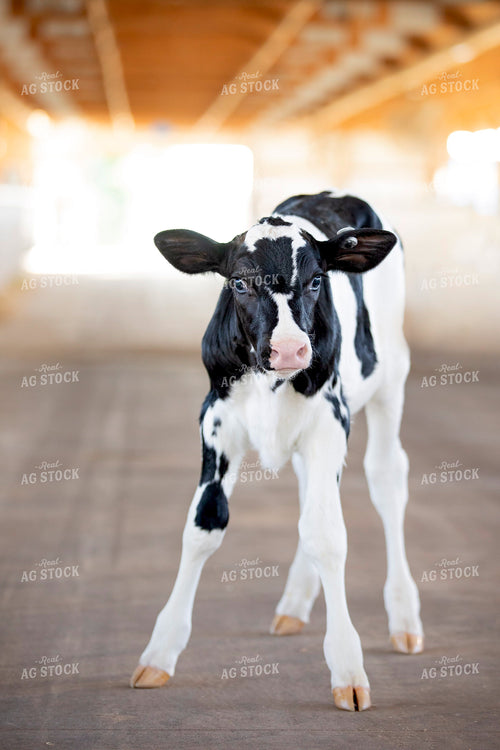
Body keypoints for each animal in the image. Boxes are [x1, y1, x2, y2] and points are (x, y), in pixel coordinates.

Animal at [130, 190, 424, 711]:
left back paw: (404, 618)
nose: (289, 350)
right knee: (311, 496)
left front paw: (348, 669)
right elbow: (203, 526)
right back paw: (295, 604)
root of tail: (334, 194)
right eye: (239, 283)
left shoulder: (331, 418)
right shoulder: (216, 420)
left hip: (393, 376)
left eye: (316, 280)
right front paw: (159, 653)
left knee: (387, 478)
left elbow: (327, 535)